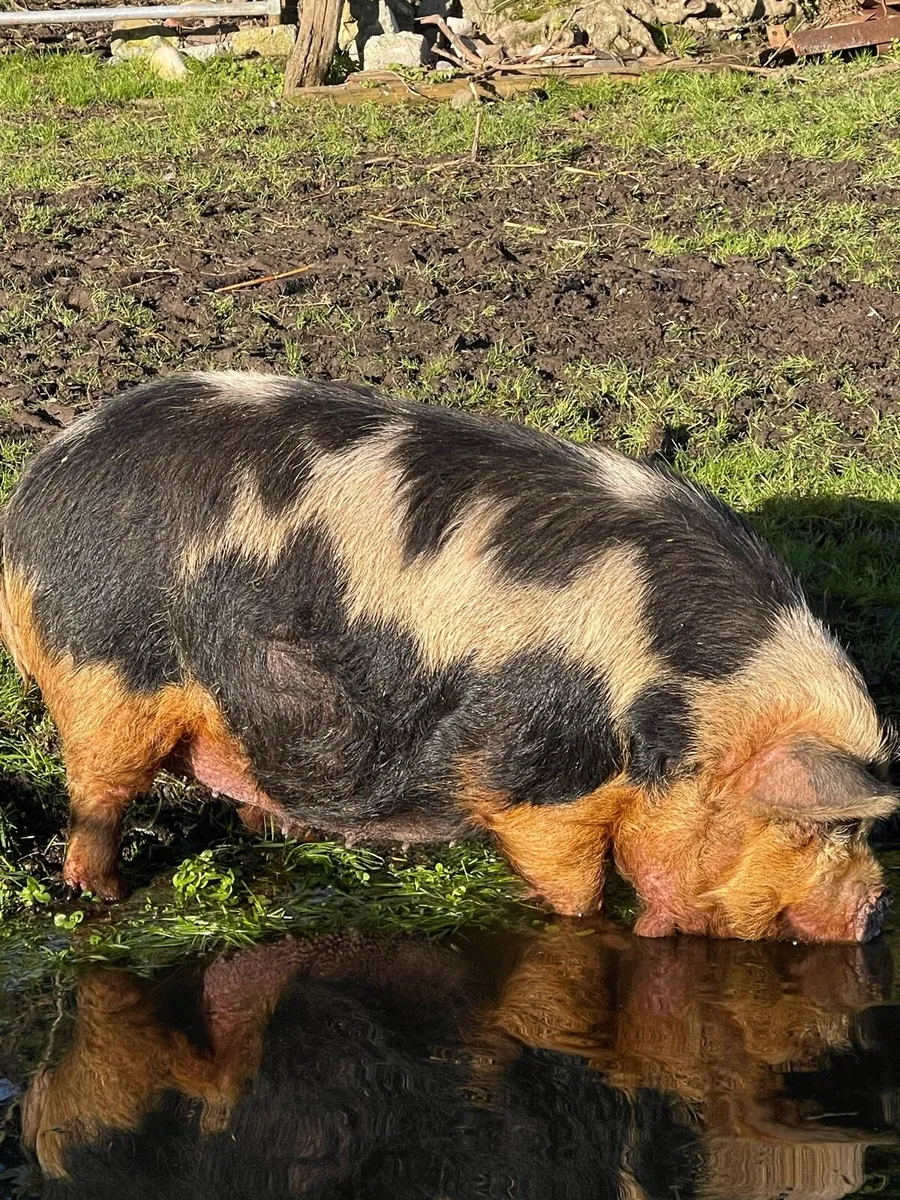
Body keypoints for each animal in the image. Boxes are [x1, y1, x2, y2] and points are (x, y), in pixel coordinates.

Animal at [0, 372, 896, 940]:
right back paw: (100, 894)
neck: (675, 706)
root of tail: (39, 486)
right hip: (106, 672)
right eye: (822, 826)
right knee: (99, 800)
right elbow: (573, 882)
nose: (875, 911)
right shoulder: (531, 778)